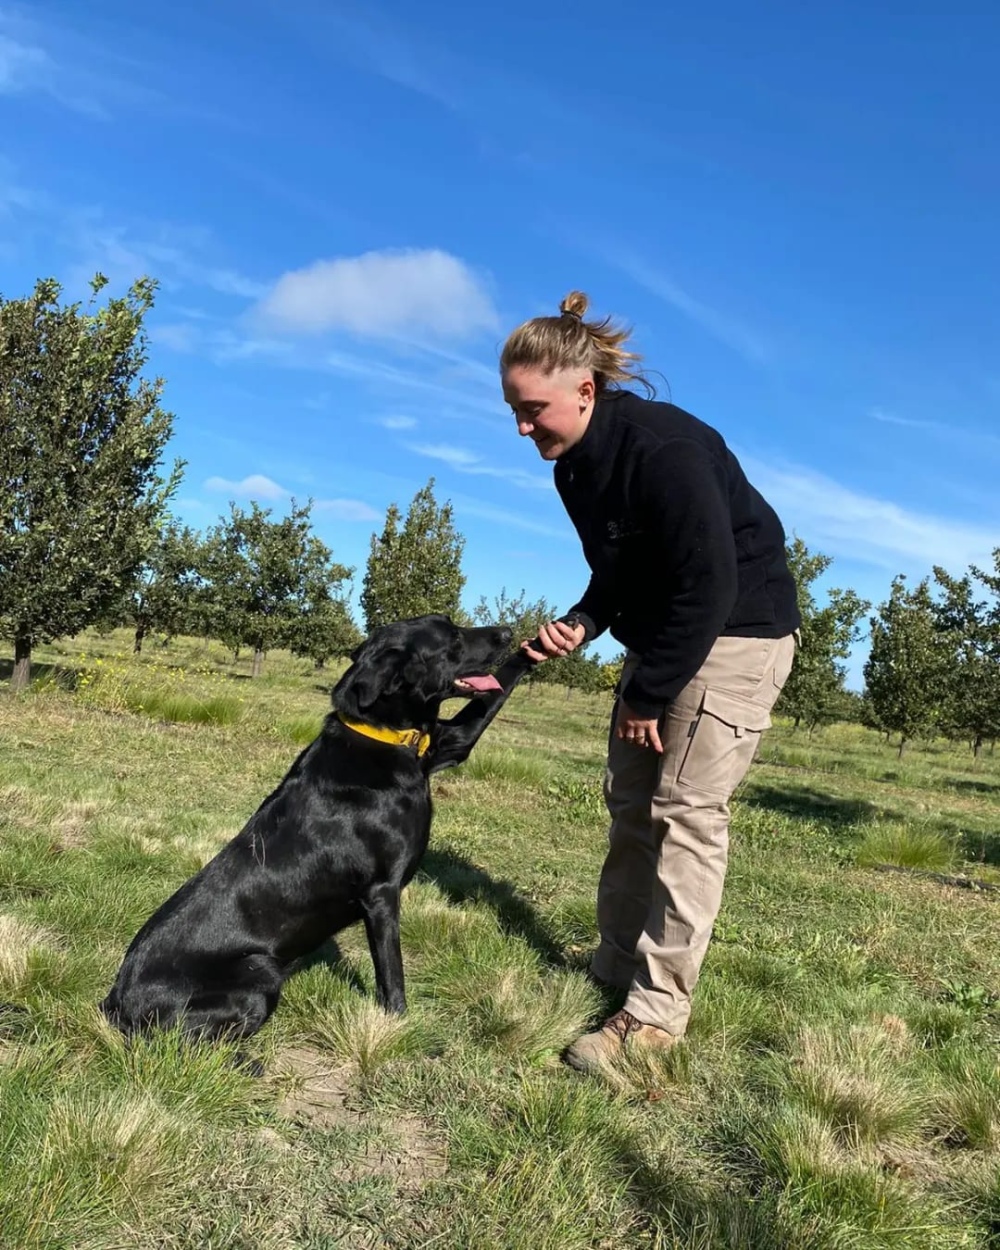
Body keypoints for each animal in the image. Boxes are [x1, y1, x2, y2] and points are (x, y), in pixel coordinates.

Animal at [99, 615, 540, 1045]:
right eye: (451, 639)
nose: (507, 632)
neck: (384, 734)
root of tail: (115, 1001)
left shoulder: (450, 743)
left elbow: (490, 698)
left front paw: (538, 646)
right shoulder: (381, 894)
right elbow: (392, 976)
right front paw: (401, 1030)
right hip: (259, 972)